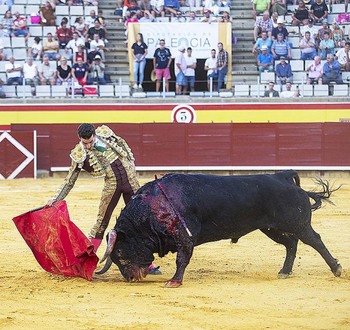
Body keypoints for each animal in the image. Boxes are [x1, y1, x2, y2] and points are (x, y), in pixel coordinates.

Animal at [98, 170, 342, 286]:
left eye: (120, 252)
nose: (130, 278)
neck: (151, 208)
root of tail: (283, 176)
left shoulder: (184, 237)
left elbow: (181, 259)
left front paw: (174, 282)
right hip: (270, 228)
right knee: (291, 243)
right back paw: (284, 271)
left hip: (297, 224)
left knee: (315, 240)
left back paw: (336, 269)